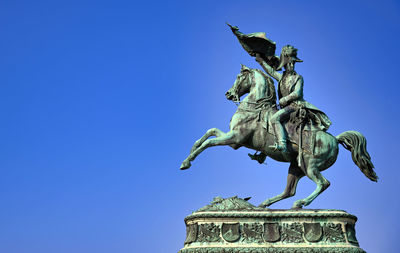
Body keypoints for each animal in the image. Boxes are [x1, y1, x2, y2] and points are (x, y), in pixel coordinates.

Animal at [180, 64, 376, 209]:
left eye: (239, 77)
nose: (228, 94)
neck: (253, 107)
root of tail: (335, 139)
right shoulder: (232, 138)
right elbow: (208, 133)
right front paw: (188, 156)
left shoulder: (235, 139)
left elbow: (209, 142)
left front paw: (187, 162)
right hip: (296, 167)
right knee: (289, 191)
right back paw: (264, 204)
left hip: (310, 165)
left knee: (323, 183)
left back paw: (300, 203)